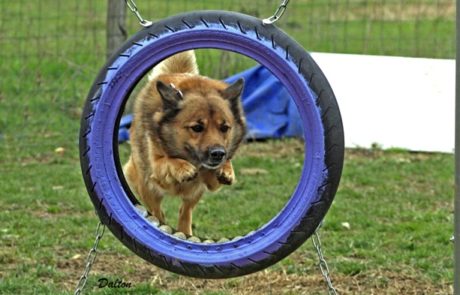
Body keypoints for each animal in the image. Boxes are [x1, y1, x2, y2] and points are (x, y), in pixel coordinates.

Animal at [121, 50, 244, 236]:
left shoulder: (209, 182)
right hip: (145, 184)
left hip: (195, 193)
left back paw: (185, 231)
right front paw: (183, 168)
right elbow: (167, 161)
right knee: (156, 210)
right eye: (197, 127)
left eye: (224, 128)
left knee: (185, 210)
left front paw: (226, 170)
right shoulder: (157, 171)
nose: (218, 154)